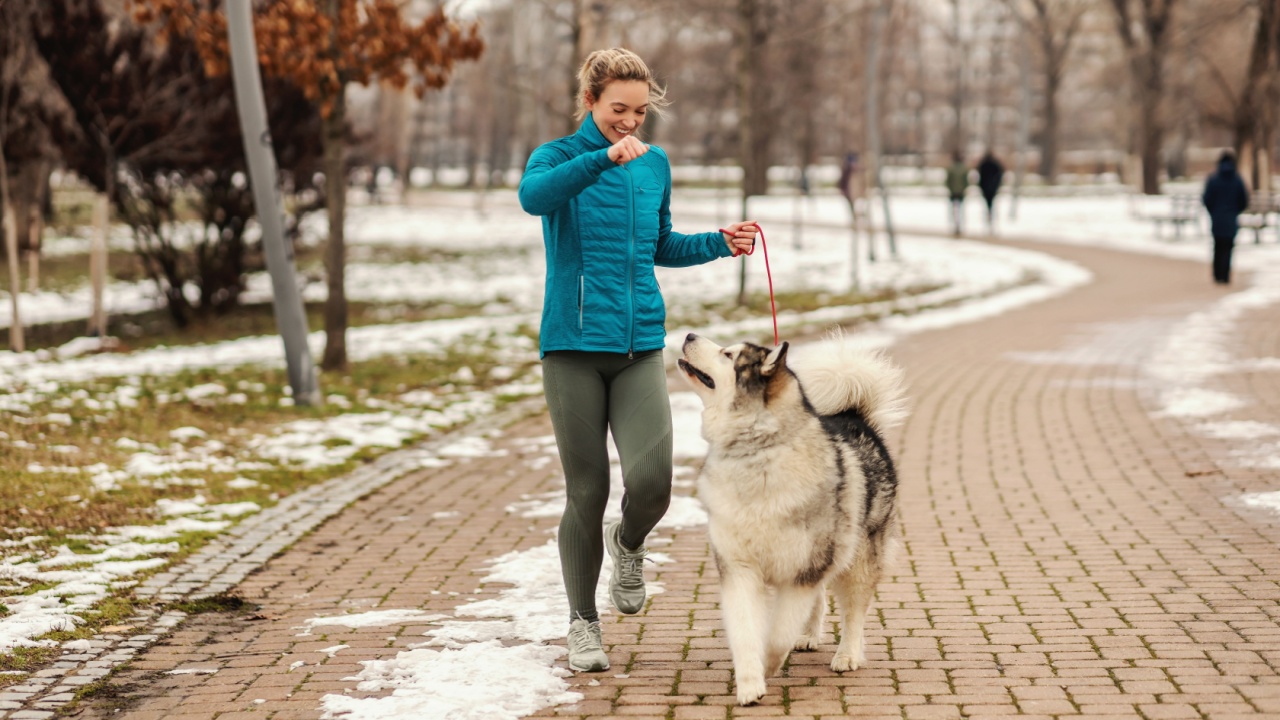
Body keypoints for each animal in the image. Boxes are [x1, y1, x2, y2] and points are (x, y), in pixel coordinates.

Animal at [675, 333, 906, 702]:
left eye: (729, 354)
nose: (688, 336)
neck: (757, 454)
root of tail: (854, 416)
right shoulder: (739, 569)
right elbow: (744, 630)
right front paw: (750, 683)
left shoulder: (803, 570)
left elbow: (780, 632)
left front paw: (769, 665)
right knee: (820, 600)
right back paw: (810, 636)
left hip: (856, 560)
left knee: (854, 612)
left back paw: (848, 654)